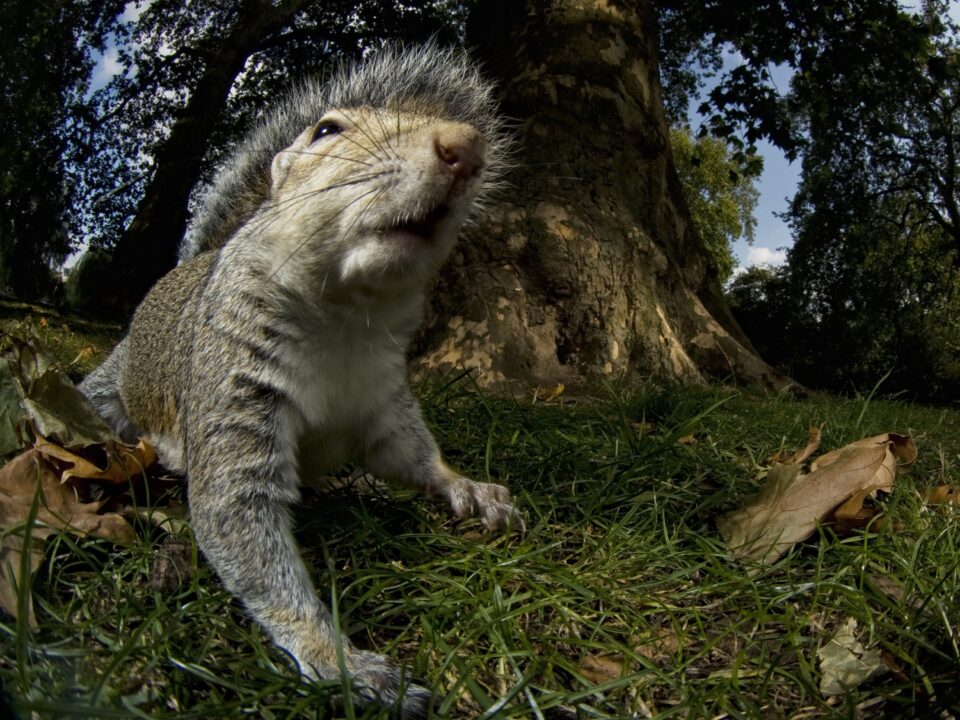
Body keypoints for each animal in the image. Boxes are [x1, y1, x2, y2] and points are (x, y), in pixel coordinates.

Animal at [80, 43, 516, 717]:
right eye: (326, 131)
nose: (465, 147)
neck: (344, 317)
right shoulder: (234, 390)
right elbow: (241, 520)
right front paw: (343, 662)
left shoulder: (385, 401)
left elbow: (411, 456)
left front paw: (466, 487)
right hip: (115, 384)